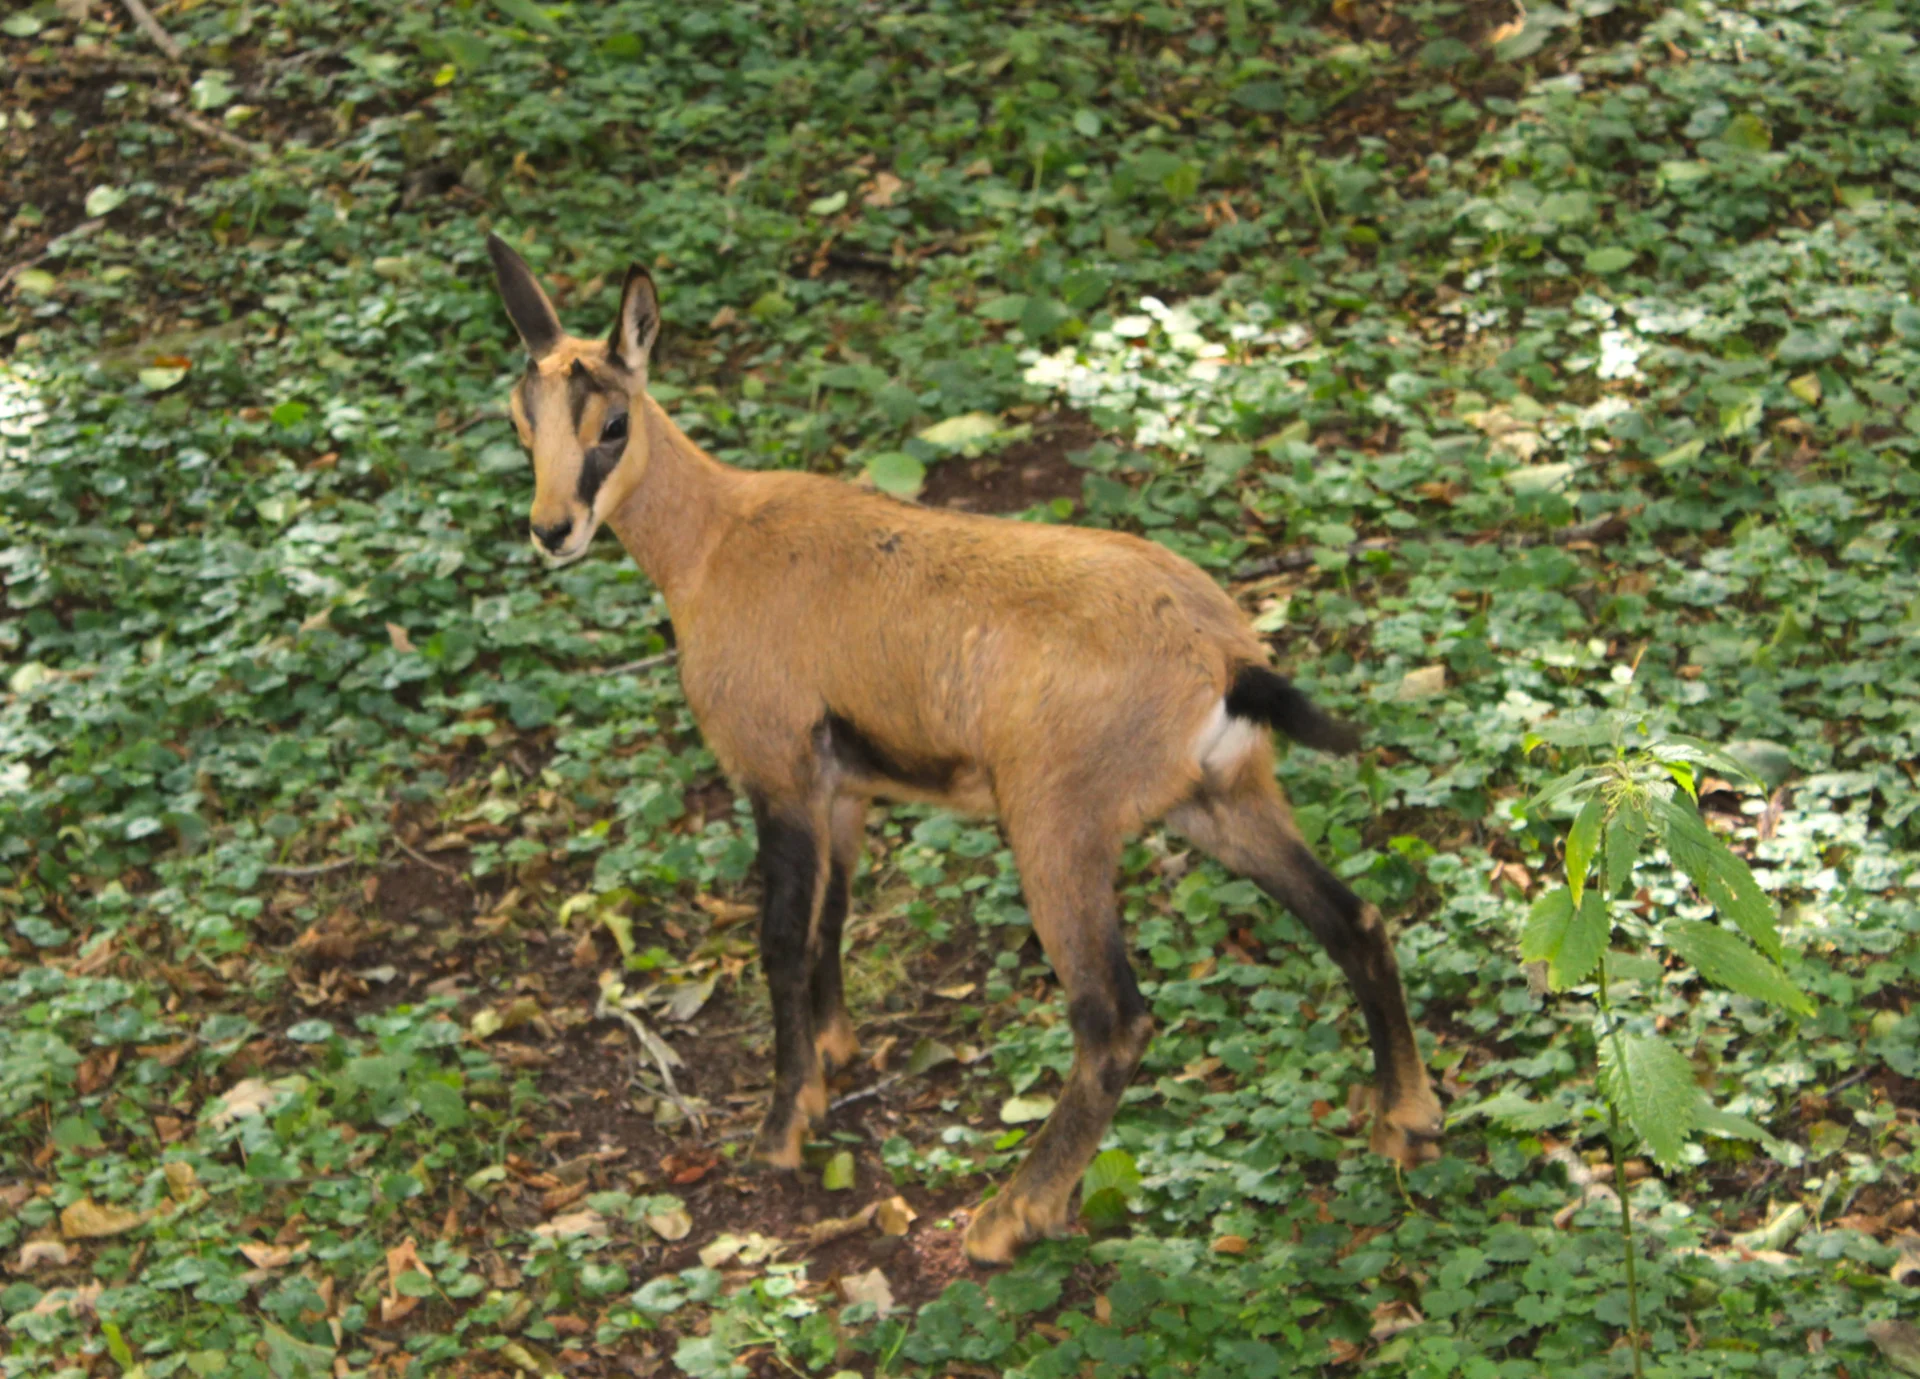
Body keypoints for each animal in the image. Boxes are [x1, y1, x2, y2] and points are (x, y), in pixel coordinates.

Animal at [484, 234, 1443, 1266]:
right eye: (521, 419)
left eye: (613, 422)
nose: (552, 530)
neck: (719, 539)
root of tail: (1225, 659)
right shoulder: (845, 788)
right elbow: (832, 917)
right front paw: (833, 1055)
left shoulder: (777, 769)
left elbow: (779, 937)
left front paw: (783, 1126)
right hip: (1224, 799)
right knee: (1354, 919)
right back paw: (1406, 1118)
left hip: (1056, 827)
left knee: (1114, 1018)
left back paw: (1007, 1216)